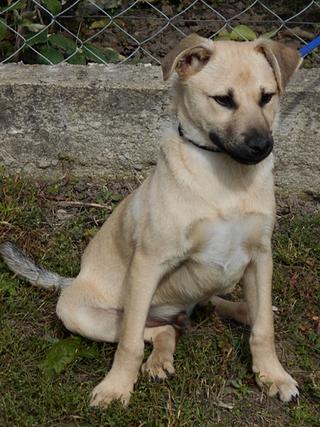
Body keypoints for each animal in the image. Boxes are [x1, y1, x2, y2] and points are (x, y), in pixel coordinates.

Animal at [0, 33, 302, 408]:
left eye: (267, 97)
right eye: (222, 100)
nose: (262, 147)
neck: (226, 179)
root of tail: (70, 282)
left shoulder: (260, 256)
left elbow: (263, 331)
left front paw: (272, 375)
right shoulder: (149, 263)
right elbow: (130, 343)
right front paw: (116, 387)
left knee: (209, 309)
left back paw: (245, 310)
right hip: (85, 314)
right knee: (157, 329)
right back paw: (159, 358)